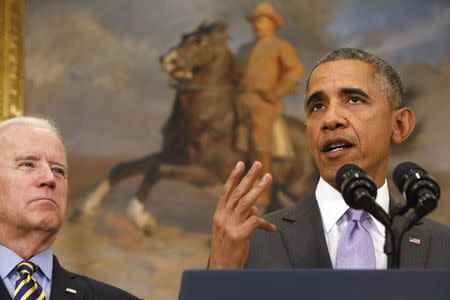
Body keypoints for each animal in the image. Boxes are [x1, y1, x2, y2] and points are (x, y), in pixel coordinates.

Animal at [71, 21, 316, 234]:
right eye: (184, 37)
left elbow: (156, 169)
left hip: (298, 188)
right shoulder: (175, 155)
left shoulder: (205, 174)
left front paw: (141, 218)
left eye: (200, 42)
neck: (210, 118)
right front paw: (86, 208)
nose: (167, 59)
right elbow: (128, 167)